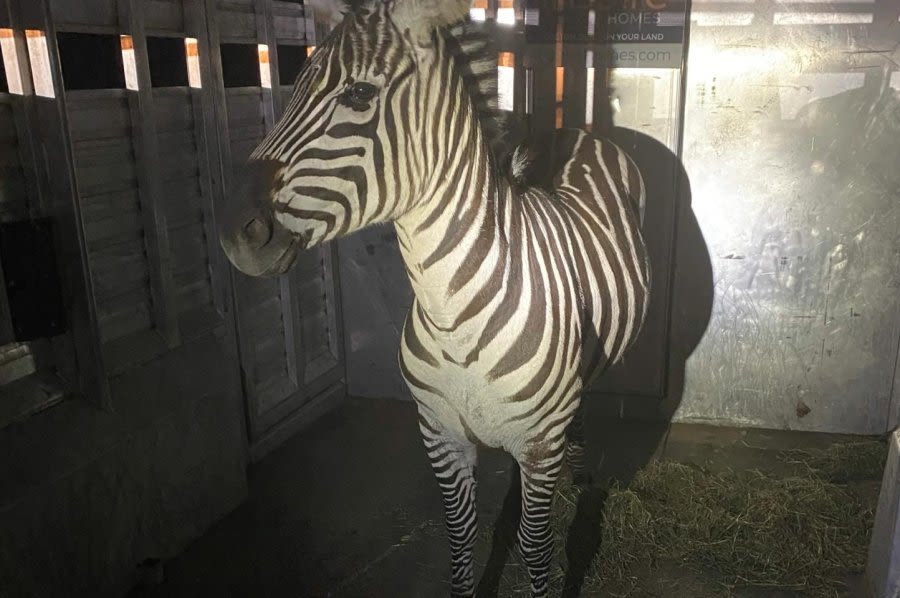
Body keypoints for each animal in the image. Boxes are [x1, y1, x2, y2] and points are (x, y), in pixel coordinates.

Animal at [221, 2, 652, 596]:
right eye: (294, 84)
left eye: (360, 93)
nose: (235, 233)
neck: (455, 317)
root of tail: (575, 131)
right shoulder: (440, 434)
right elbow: (461, 542)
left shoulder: (540, 444)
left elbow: (536, 551)